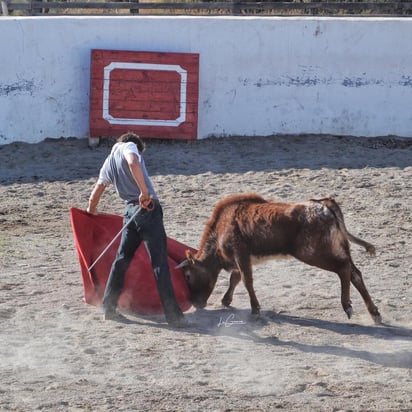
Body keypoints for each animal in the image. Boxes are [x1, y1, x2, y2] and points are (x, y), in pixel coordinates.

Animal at [179, 192, 382, 324]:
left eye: (188, 275)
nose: (196, 304)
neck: (221, 226)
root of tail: (324, 204)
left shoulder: (240, 254)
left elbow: (246, 280)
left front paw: (255, 309)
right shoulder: (241, 259)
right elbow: (235, 278)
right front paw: (226, 300)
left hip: (314, 254)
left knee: (343, 269)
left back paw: (347, 305)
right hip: (339, 248)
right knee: (355, 273)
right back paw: (374, 313)